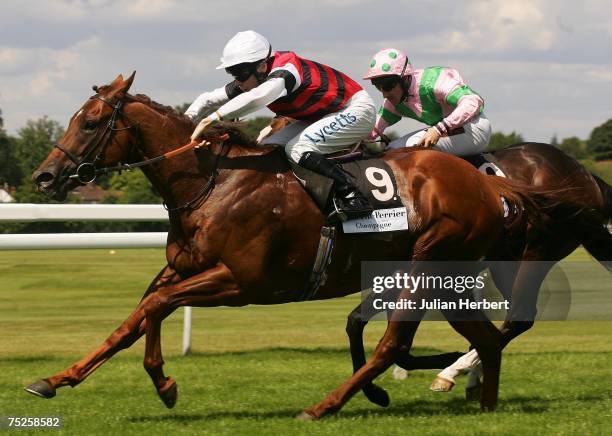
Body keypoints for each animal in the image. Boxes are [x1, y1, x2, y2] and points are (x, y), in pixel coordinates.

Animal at [27, 73, 560, 418]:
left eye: (90, 124)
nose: (45, 176)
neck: (212, 183)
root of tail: (490, 183)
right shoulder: (181, 270)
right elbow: (133, 319)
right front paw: (54, 380)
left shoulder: (239, 282)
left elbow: (156, 308)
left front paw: (165, 383)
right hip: (449, 278)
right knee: (485, 339)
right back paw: (482, 404)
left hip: (427, 268)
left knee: (396, 342)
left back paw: (324, 406)